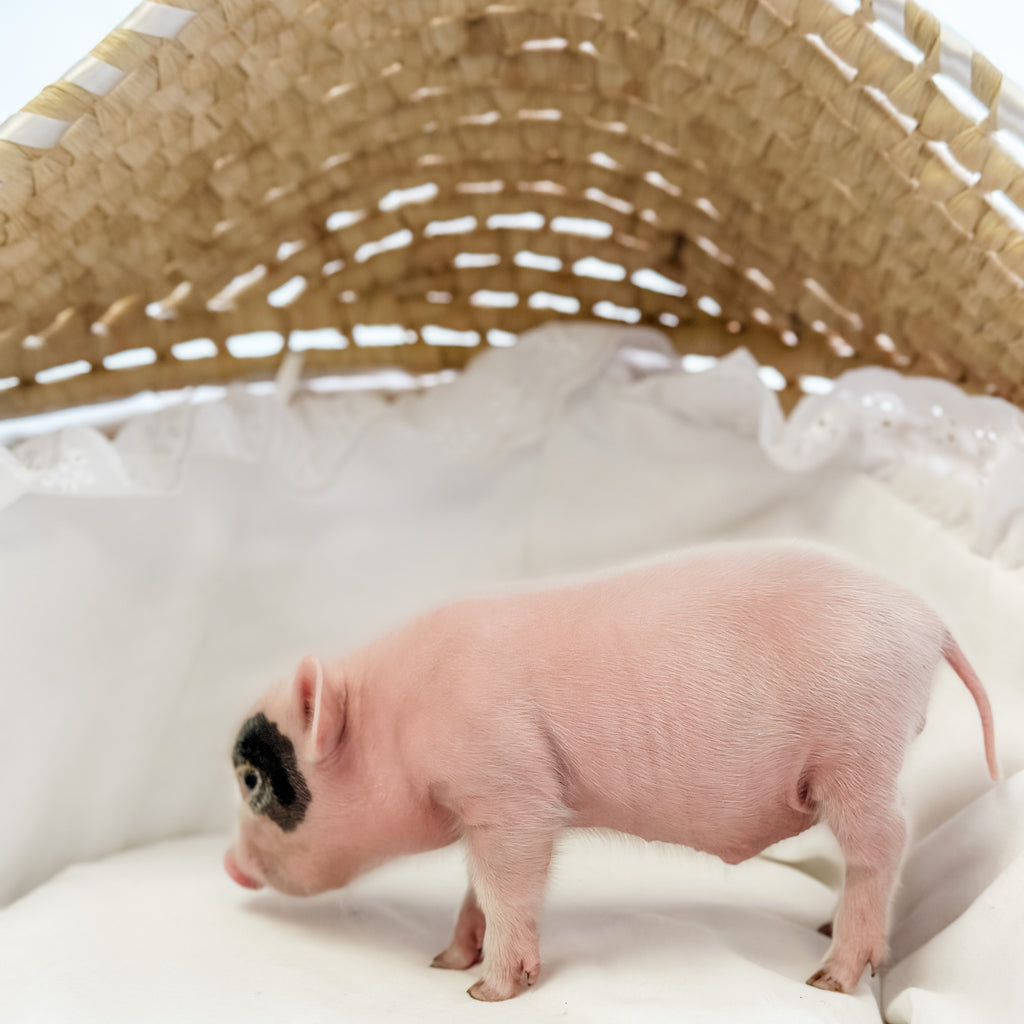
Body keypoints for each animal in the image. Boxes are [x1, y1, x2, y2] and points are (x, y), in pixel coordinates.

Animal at [224, 540, 998, 1001]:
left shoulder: (512, 788)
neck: (398, 717)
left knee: (886, 843)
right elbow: (478, 888)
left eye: (254, 781)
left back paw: (828, 978)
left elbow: (509, 886)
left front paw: (484, 992)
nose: (229, 866)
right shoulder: (484, 808)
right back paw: (819, 933)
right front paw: (445, 962)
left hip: (859, 752)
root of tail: (931, 621)